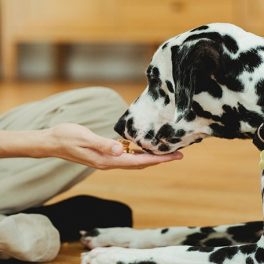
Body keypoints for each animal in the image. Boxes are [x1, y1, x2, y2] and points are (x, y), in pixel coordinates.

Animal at [82, 22, 264, 264]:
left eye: (155, 80)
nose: (119, 126)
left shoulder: (255, 253)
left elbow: (177, 250)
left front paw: (113, 254)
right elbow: (185, 230)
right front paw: (119, 235)